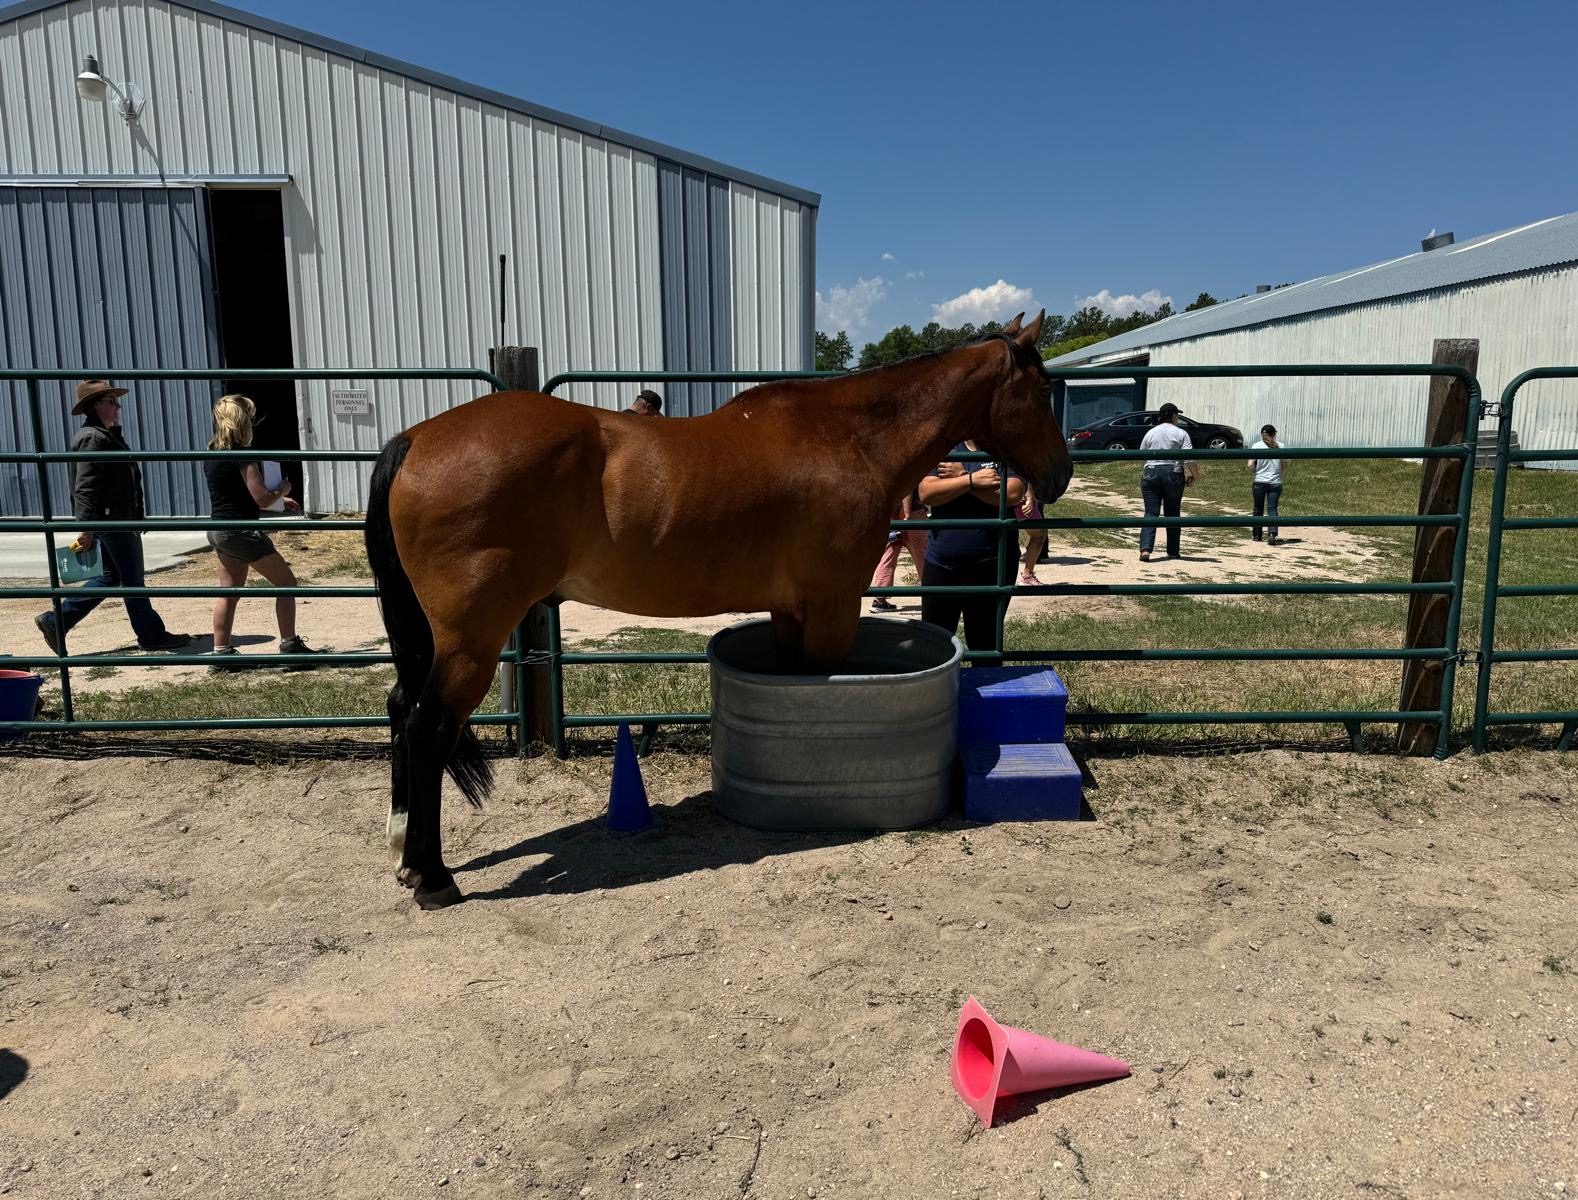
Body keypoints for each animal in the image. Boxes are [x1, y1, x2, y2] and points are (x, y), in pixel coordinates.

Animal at [362, 309, 1066, 909]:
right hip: (470, 640)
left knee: (400, 709)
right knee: (427, 727)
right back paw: (432, 876)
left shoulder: (791, 610)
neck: (850, 437)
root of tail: (416, 438)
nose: (1059, 476)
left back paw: (401, 852)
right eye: (1041, 389)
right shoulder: (832, 603)